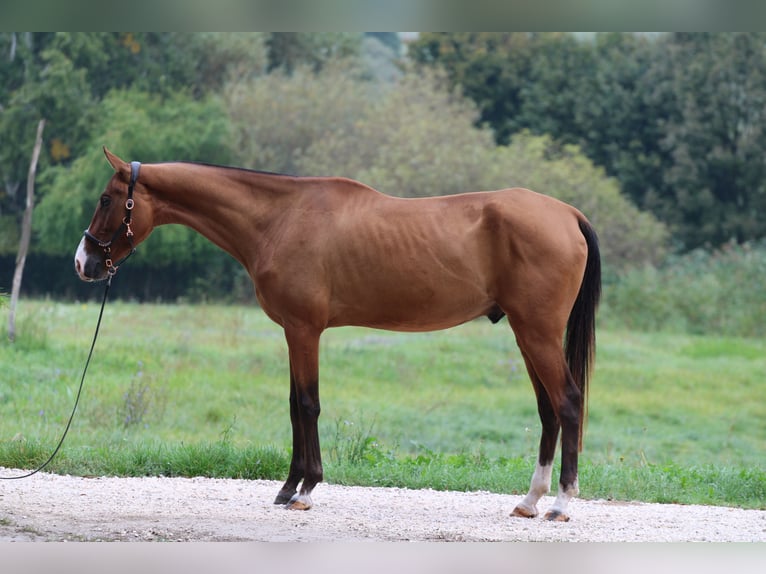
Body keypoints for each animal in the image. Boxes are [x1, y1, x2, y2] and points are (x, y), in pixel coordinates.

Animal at [75, 147, 604, 520]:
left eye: (105, 199)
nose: (83, 264)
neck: (280, 218)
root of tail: (568, 215)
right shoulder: (293, 332)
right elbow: (294, 406)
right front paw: (287, 487)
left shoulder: (304, 330)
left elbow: (308, 405)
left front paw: (306, 490)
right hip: (525, 333)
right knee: (548, 411)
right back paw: (530, 501)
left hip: (537, 332)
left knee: (568, 402)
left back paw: (561, 504)